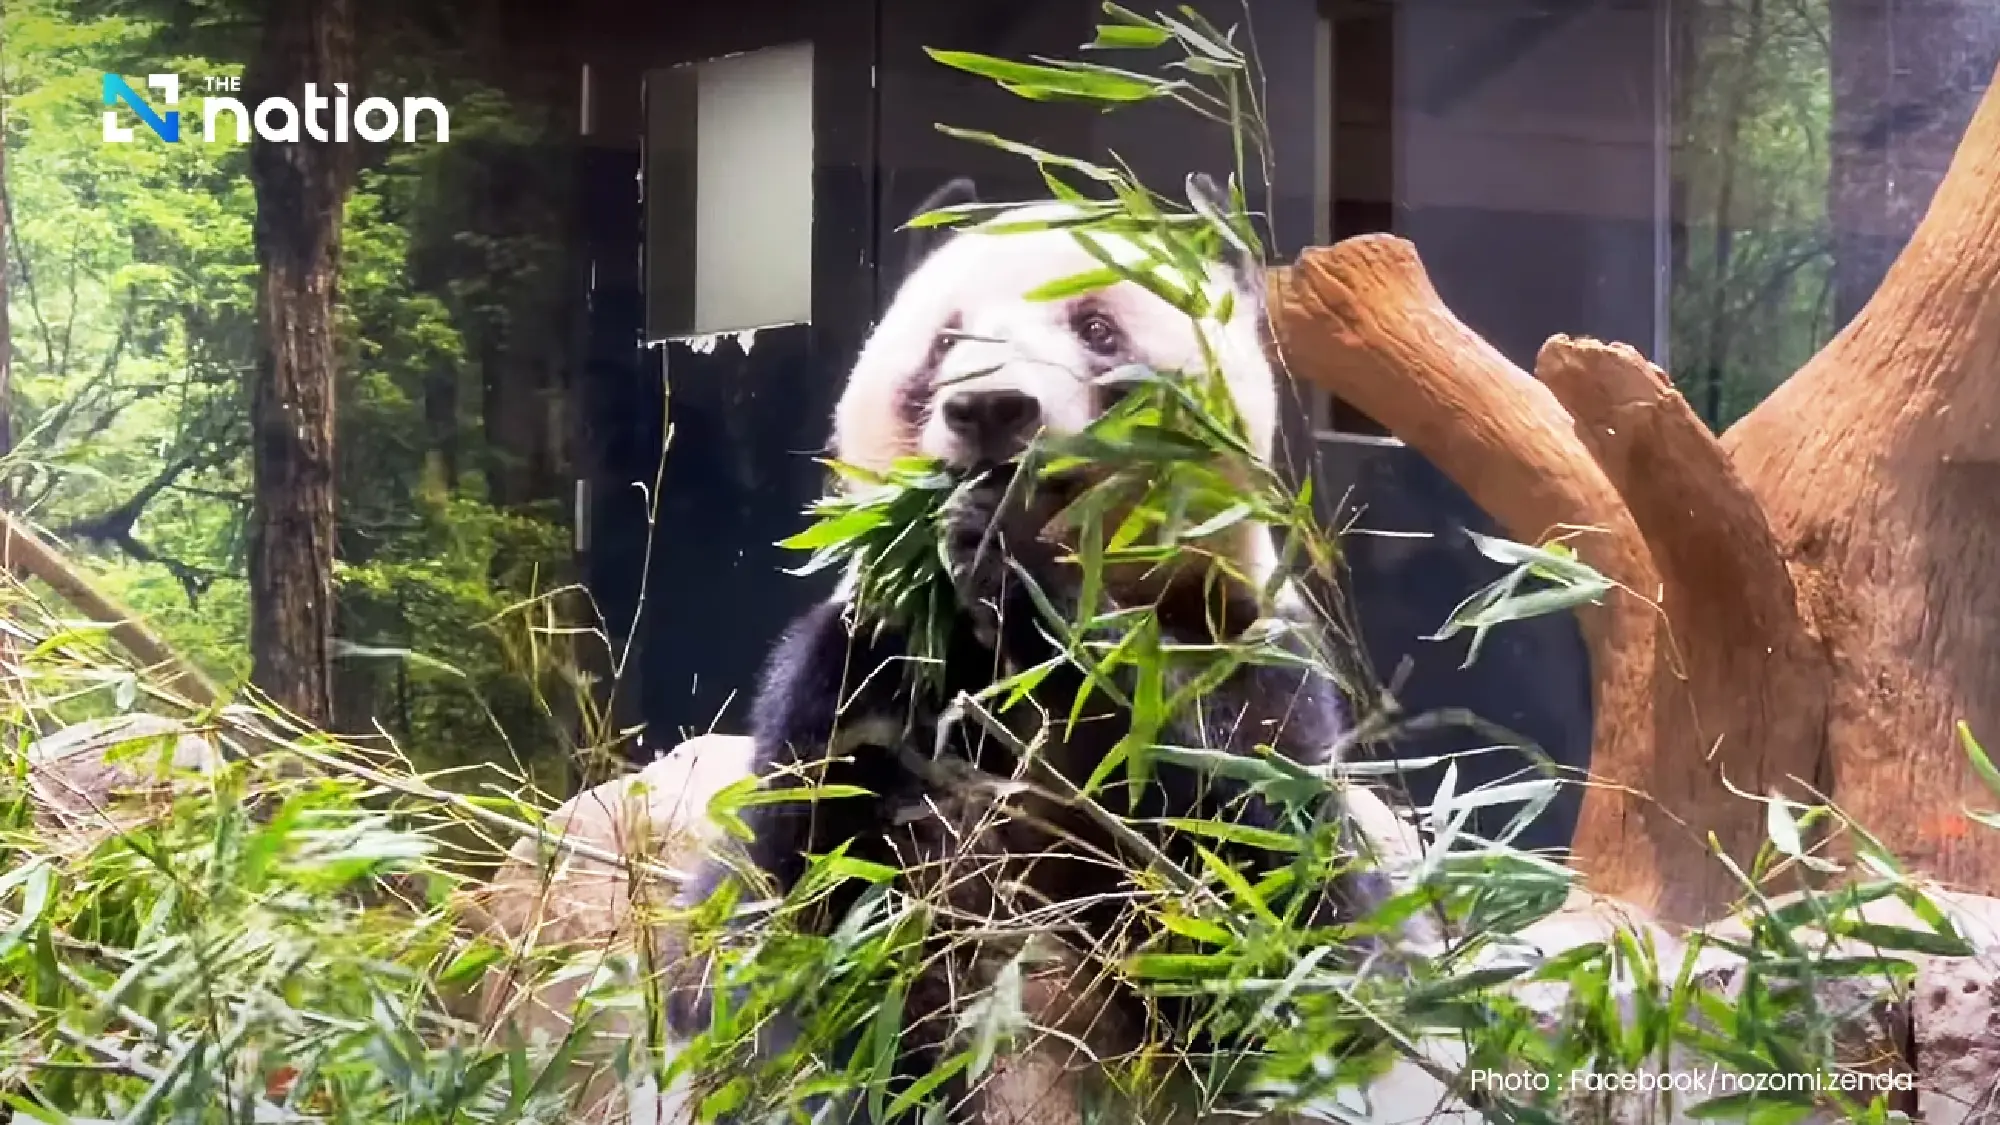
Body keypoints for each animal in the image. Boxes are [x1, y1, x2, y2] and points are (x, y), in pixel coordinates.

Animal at [665, 176, 1396, 1123]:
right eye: (946, 340)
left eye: (1099, 330)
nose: (990, 409)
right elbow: (782, 900)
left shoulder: (1243, 643)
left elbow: (1270, 896)